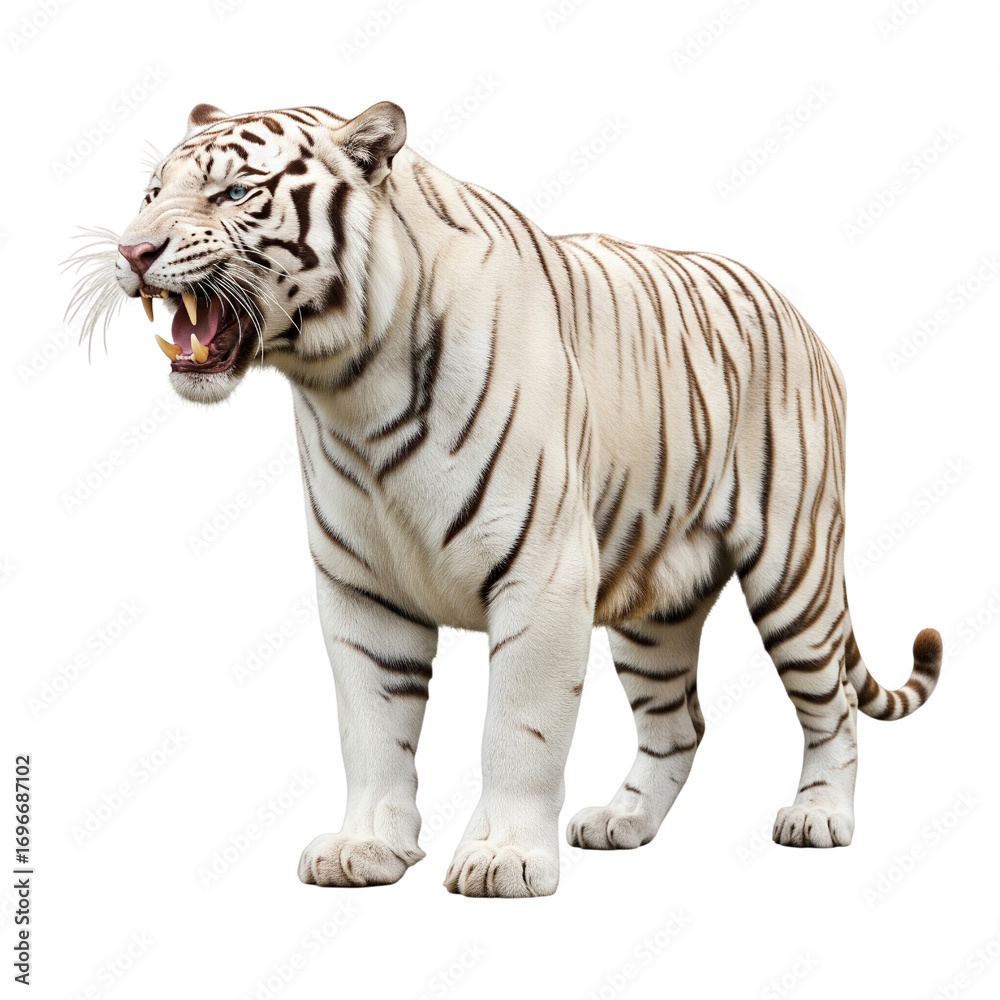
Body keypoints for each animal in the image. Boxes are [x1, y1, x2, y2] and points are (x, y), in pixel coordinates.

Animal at [67, 100, 942, 898]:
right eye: (152, 193)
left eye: (236, 192)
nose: (134, 250)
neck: (348, 388)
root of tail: (792, 308)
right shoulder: (359, 588)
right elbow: (372, 729)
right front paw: (365, 848)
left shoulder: (544, 575)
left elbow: (519, 732)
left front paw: (505, 859)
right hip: (653, 604)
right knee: (678, 723)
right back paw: (622, 821)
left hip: (795, 569)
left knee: (832, 704)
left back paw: (820, 816)